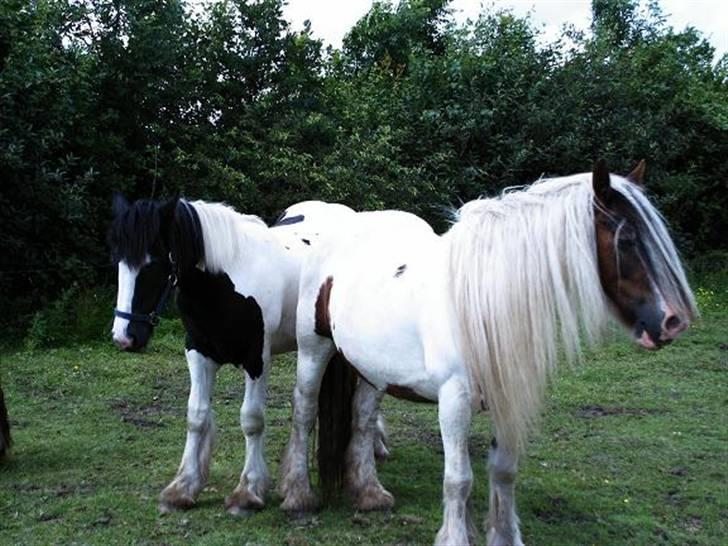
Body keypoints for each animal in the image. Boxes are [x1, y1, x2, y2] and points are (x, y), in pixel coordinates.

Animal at [106, 196, 392, 516]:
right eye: (118, 261)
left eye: (153, 263)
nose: (124, 337)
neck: (226, 283)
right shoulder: (198, 353)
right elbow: (196, 415)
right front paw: (182, 488)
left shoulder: (257, 360)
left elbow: (251, 419)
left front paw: (248, 491)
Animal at [278, 160, 692, 544]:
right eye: (626, 241)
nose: (672, 321)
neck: (482, 302)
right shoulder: (454, 400)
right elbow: (458, 478)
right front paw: (455, 536)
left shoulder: (509, 396)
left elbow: (504, 471)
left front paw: (505, 536)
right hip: (314, 348)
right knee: (304, 409)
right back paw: (298, 495)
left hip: (371, 369)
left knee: (362, 419)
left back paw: (369, 494)